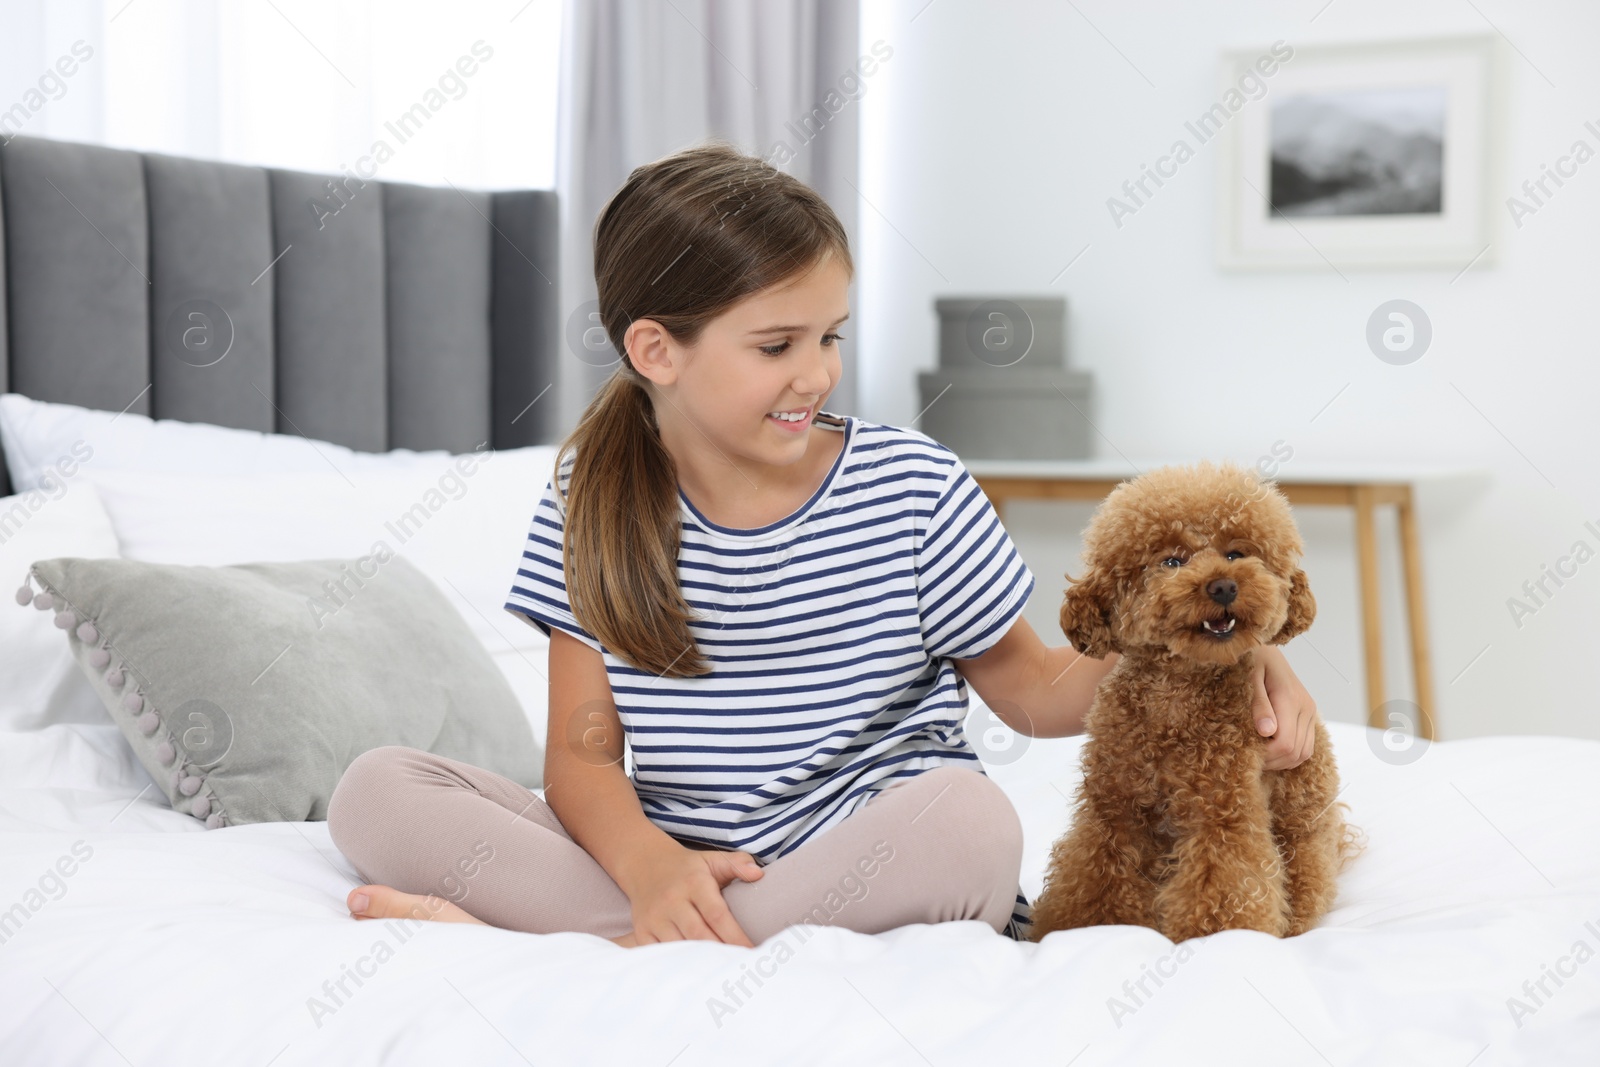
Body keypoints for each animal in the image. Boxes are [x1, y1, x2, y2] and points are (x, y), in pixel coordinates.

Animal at [1024, 460, 1363, 940]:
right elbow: (1095, 877)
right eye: (1172, 561)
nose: (1222, 587)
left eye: (1236, 554)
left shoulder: (1222, 812)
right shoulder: (1113, 811)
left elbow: (1223, 881)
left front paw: (1214, 935)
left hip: (1302, 820)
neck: (1176, 696)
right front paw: (1092, 928)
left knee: (1306, 876)